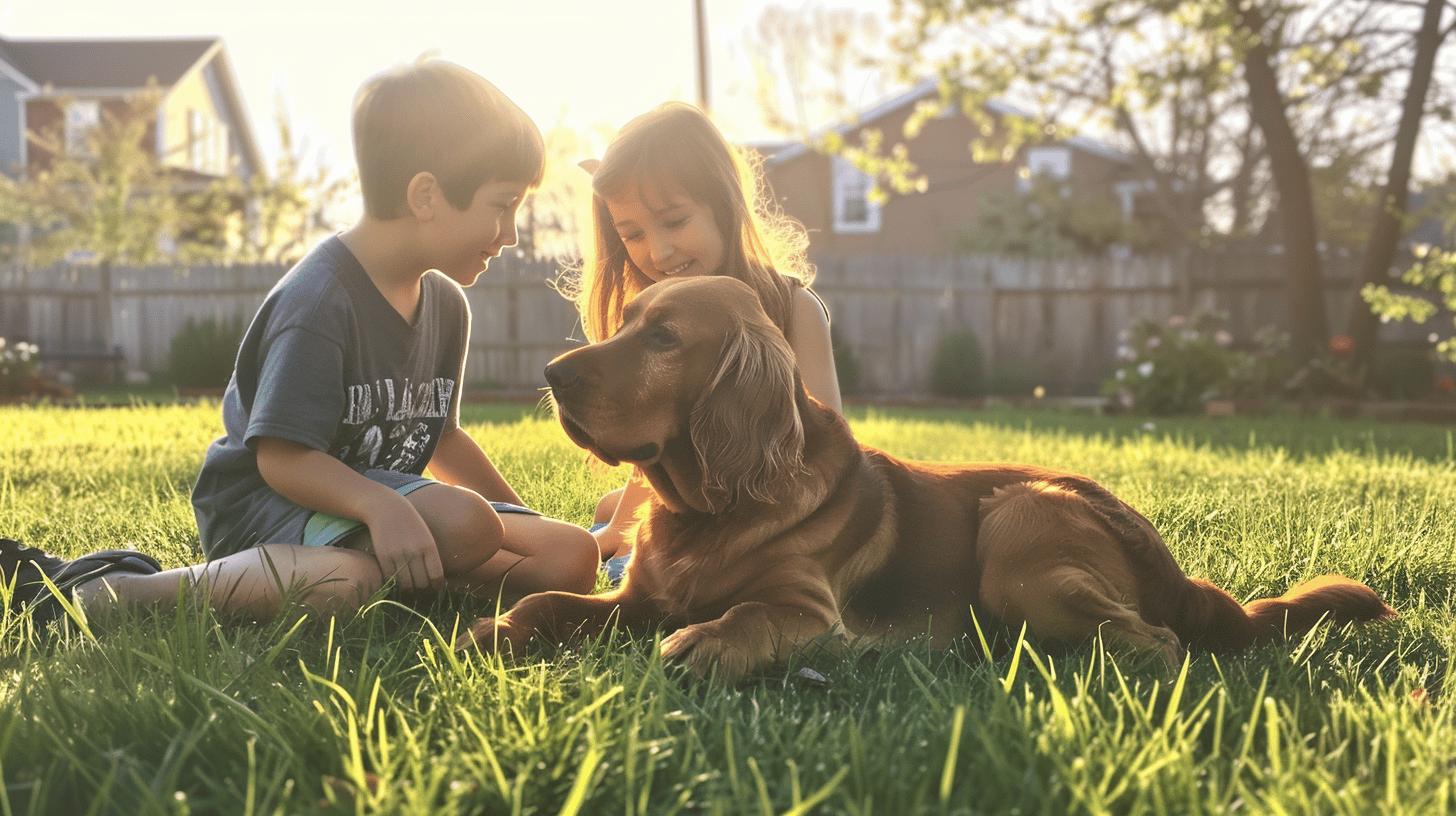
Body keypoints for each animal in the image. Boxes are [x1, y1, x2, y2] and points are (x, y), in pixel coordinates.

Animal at [457, 276, 1397, 679]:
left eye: (662, 339)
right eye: (627, 323)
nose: (550, 374)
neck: (707, 508)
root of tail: (1172, 567)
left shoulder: (806, 610)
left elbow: (753, 614)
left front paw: (711, 643)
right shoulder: (637, 600)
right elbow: (553, 603)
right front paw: (494, 628)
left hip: (1018, 523)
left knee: (1155, 645)